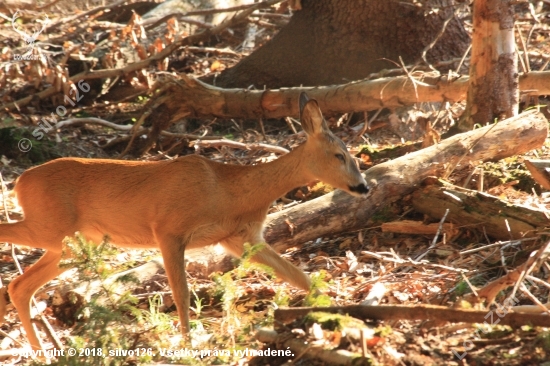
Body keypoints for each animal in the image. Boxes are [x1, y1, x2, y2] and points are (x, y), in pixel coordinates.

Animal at [1, 92, 370, 352]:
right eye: (340, 155)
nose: (363, 187)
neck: (230, 191)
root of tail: (21, 182)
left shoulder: (242, 238)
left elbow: (299, 277)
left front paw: (339, 313)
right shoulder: (169, 228)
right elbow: (181, 293)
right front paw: (189, 345)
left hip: (68, 243)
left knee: (20, 287)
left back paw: (46, 352)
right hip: (49, 226)